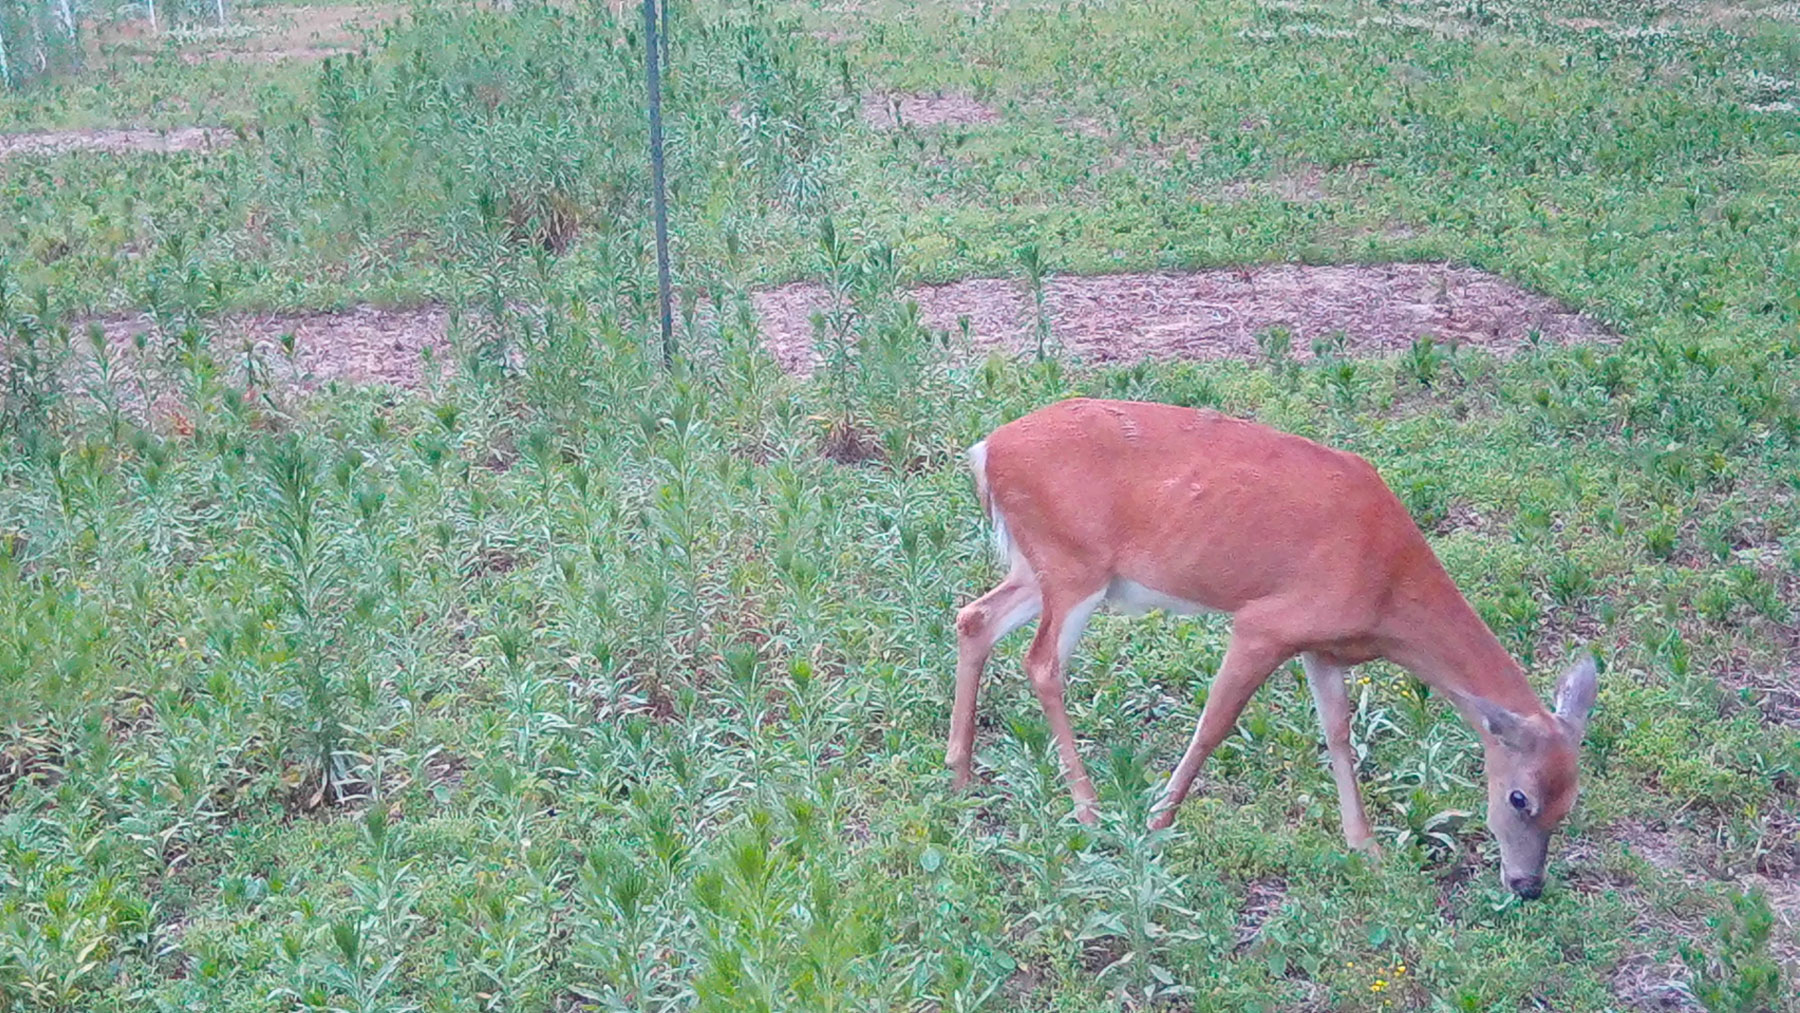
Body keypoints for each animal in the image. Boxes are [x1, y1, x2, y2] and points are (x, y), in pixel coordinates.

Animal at [947, 398, 1600, 899]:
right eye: (1518, 797)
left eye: (1570, 803)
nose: (1527, 886)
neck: (1387, 584)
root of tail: (986, 450)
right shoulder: (1266, 623)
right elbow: (1214, 725)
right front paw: (1159, 822)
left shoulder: (1323, 647)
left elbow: (1338, 732)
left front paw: (1365, 848)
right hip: (1074, 563)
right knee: (1042, 663)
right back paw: (1086, 806)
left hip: (1043, 566)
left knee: (974, 617)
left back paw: (960, 773)